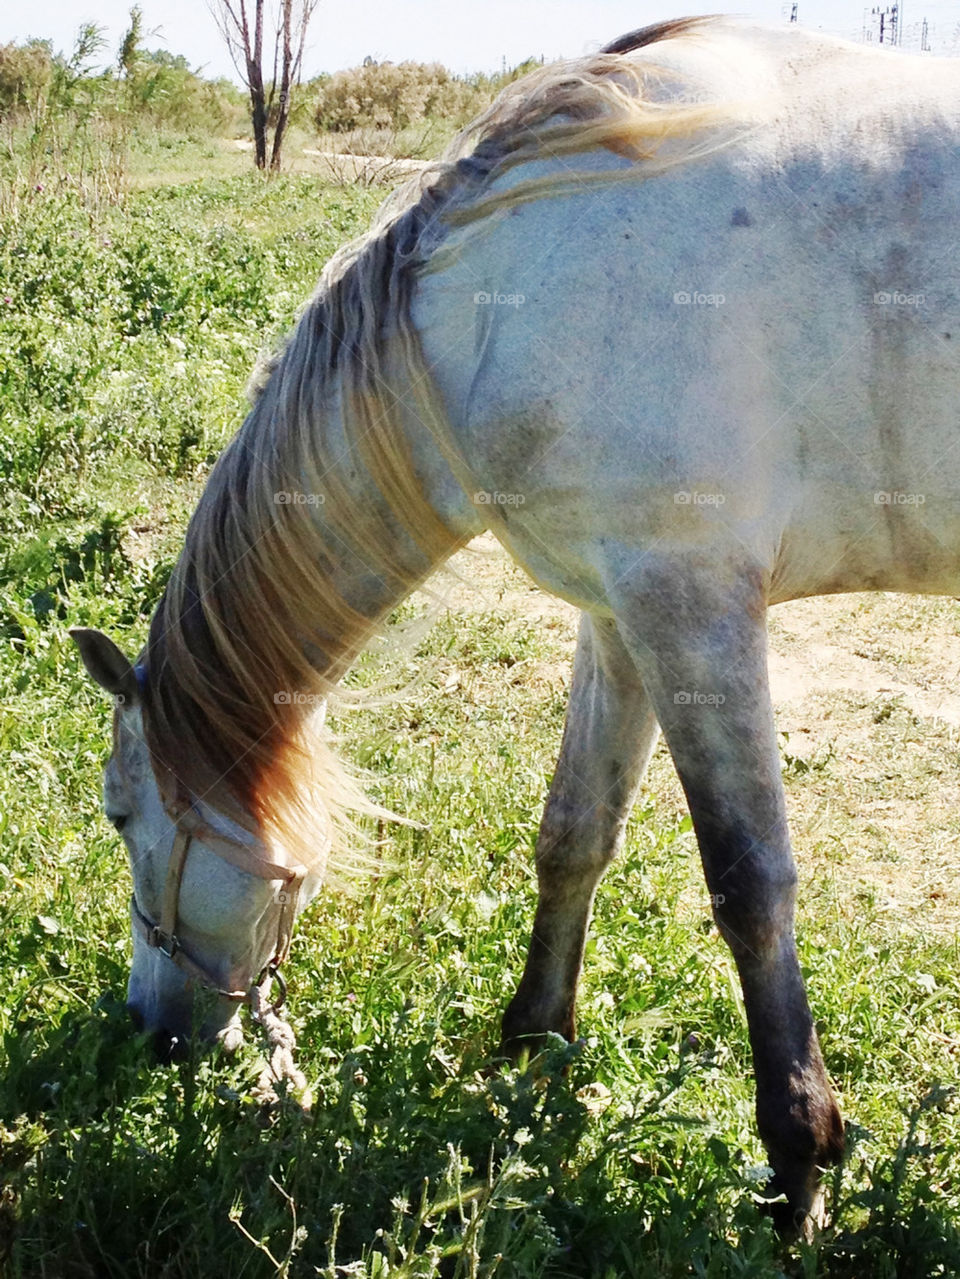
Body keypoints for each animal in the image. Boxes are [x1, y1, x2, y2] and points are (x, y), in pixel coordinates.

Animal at [72, 15, 960, 1234]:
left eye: (122, 817)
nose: (150, 1029)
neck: (505, 295)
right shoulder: (620, 615)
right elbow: (573, 832)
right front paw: (534, 1045)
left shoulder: (692, 609)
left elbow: (747, 884)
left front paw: (801, 1164)